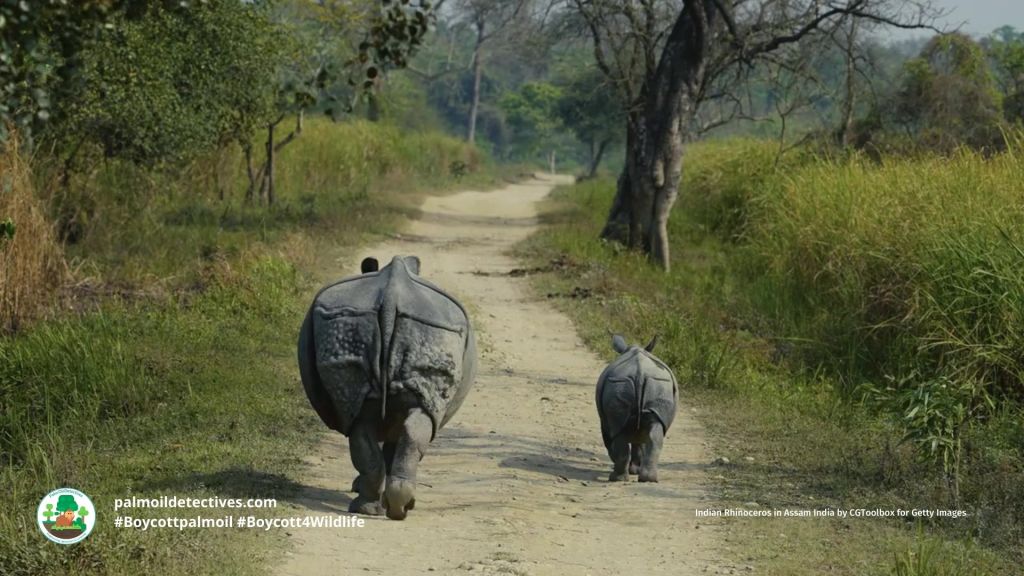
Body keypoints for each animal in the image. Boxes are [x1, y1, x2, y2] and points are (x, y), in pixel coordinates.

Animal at [297, 255, 477, 520]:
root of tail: (392, 295)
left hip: (364, 324)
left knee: (361, 423)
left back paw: (377, 508)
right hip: (426, 329)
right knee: (371, 423)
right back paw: (391, 508)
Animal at [596, 334, 678, 482]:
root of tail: (640, 373)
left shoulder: (605, 423)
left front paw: (632, 469)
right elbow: (639, 442)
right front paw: (635, 470)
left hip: (621, 384)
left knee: (619, 434)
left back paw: (617, 478)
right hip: (656, 384)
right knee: (653, 435)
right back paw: (647, 479)